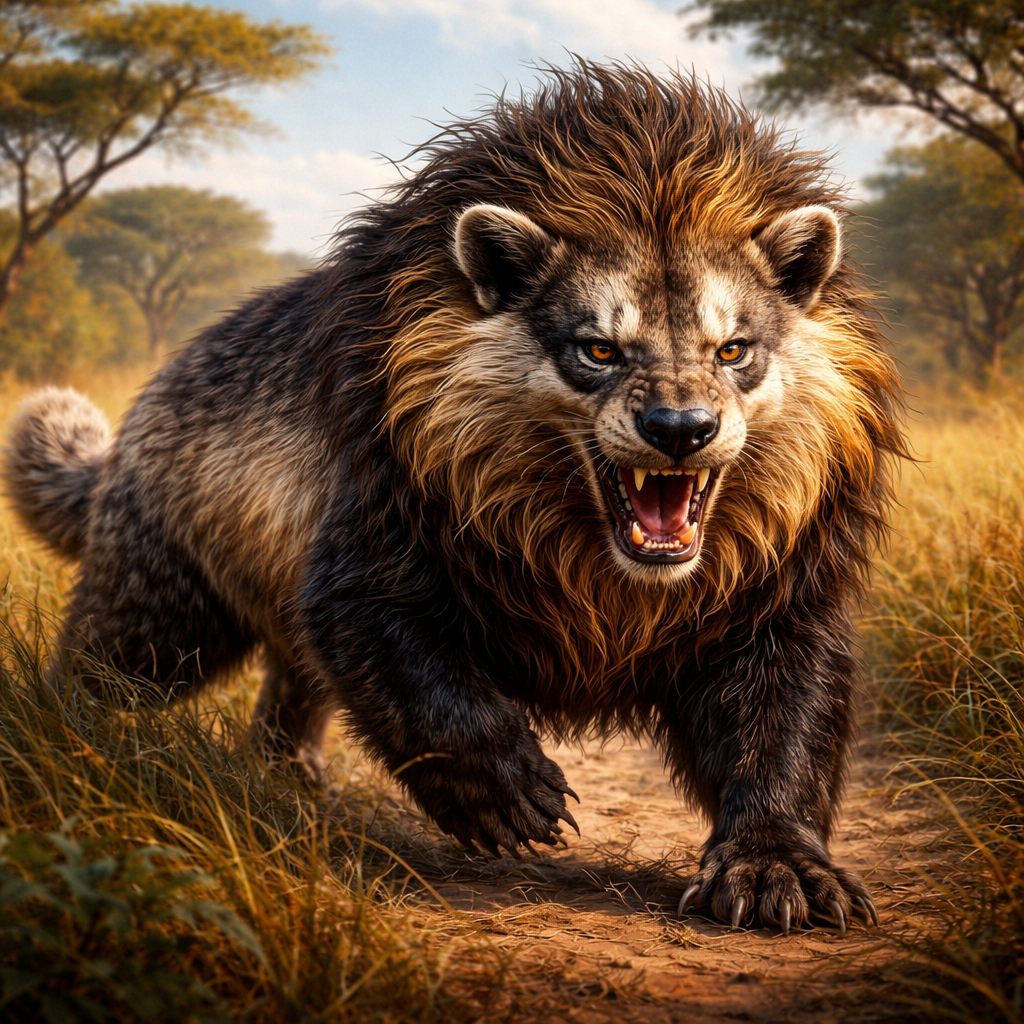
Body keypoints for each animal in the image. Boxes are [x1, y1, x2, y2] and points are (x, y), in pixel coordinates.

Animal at [4, 61, 903, 934]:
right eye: (599, 350)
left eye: (733, 350)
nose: (679, 428)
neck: (598, 566)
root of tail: (136, 418)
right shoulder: (370, 561)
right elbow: (428, 698)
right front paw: (511, 796)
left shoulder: (778, 604)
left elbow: (781, 738)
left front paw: (775, 867)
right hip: (161, 609)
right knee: (92, 673)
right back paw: (62, 749)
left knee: (290, 691)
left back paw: (292, 781)